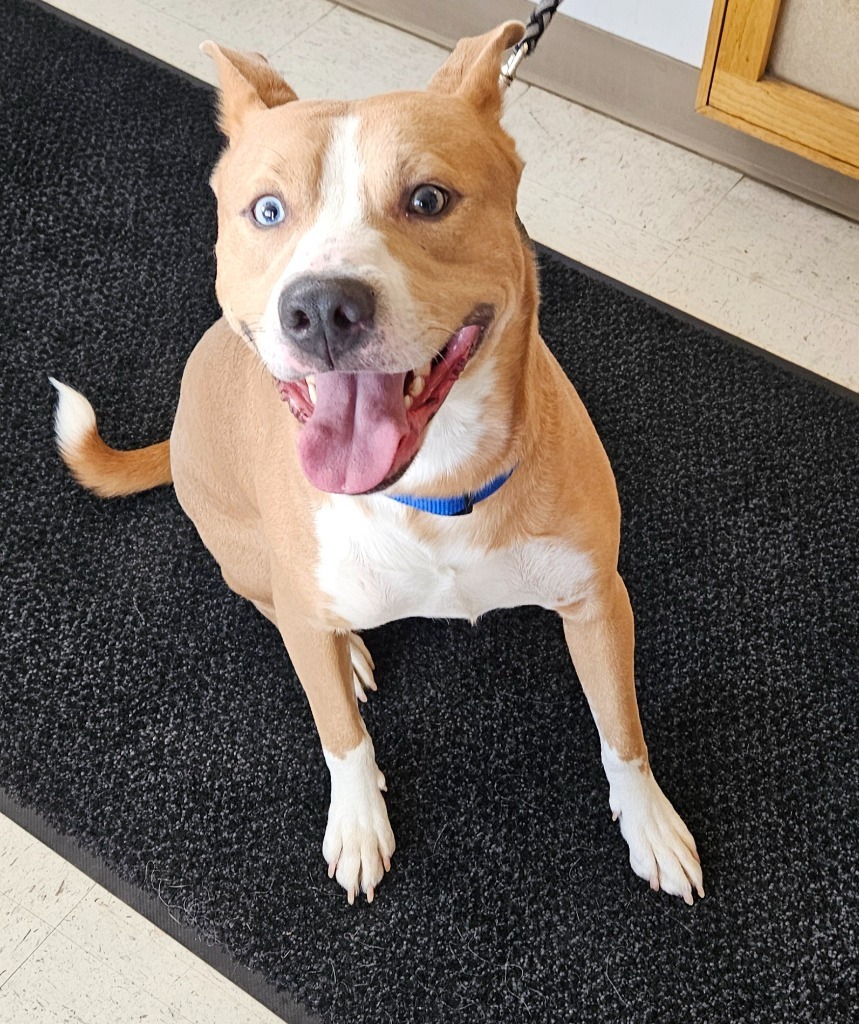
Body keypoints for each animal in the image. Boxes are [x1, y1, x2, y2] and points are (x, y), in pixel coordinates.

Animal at [48, 19, 704, 905]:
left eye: (427, 199)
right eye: (267, 210)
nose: (322, 307)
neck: (433, 488)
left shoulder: (597, 599)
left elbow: (620, 730)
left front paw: (650, 825)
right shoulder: (314, 624)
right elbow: (341, 735)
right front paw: (358, 823)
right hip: (248, 558)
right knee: (283, 612)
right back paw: (350, 651)